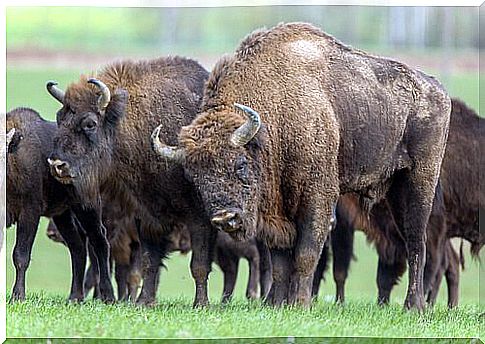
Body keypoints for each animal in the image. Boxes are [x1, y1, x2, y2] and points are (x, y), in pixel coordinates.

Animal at [151, 22, 450, 310]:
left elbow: (306, 255)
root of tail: (439, 90)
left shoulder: (318, 198)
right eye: (195, 178)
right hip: (395, 191)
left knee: (417, 241)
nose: (226, 218)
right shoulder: (276, 214)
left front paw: (301, 304)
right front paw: (278, 304)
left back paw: (414, 306)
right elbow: (280, 262)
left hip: (419, 181)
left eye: (241, 165)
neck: (277, 116)